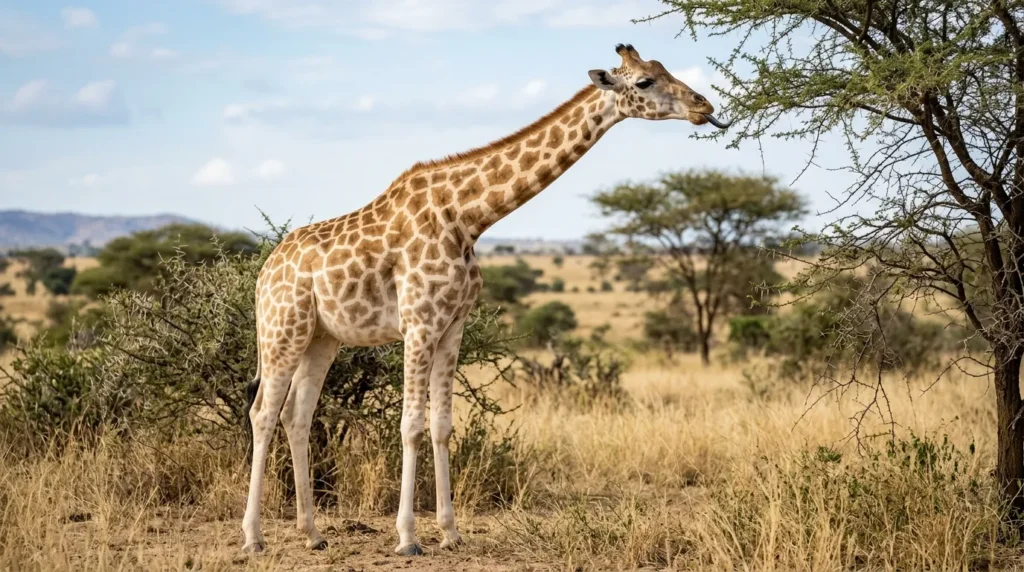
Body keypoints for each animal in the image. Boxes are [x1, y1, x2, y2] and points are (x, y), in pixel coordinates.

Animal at [241, 43, 729, 556]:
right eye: (644, 82)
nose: (704, 106)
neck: (468, 218)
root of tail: (264, 272)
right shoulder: (419, 323)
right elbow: (411, 425)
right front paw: (407, 538)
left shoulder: (453, 325)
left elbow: (441, 425)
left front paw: (450, 532)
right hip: (281, 330)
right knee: (262, 413)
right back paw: (253, 538)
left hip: (322, 338)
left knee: (296, 416)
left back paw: (313, 534)